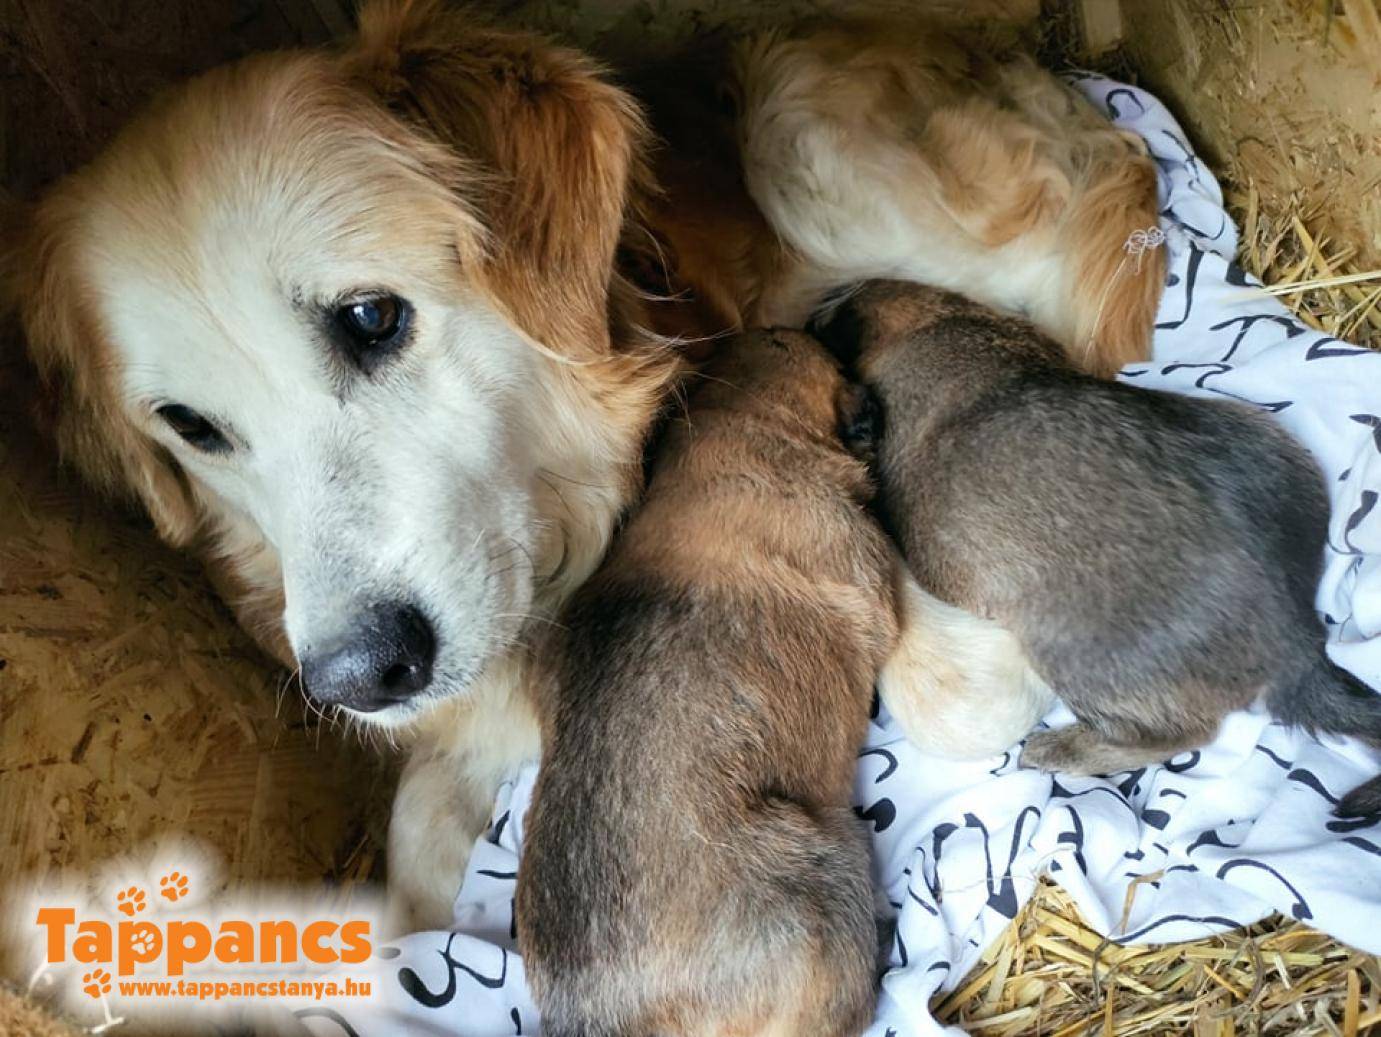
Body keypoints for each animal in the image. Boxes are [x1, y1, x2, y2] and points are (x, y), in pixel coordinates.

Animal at [3, 0, 1169, 928]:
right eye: (190, 427)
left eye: (371, 318)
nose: (357, 677)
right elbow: (410, 872)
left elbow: (956, 682)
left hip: (807, 142)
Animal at [816, 280, 1381, 818]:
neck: (935, 324)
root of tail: (1294, 639)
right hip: (1268, 435)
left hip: (1069, 654)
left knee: (1175, 735)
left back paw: (1058, 750)